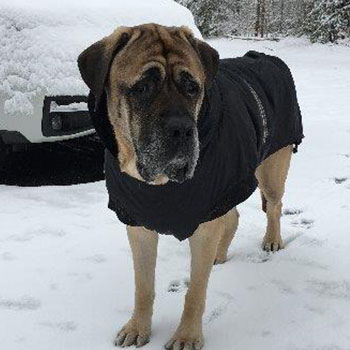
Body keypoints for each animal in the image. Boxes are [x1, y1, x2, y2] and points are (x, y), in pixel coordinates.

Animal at [78, 23, 302, 348]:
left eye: (192, 87)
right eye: (142, 88)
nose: (182, 129)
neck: (159, 184)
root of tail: (265, 58)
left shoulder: (205, 221)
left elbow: (195, 291)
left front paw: (187, 335)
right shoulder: (138, 223)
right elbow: (143, 285)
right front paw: (138, 327)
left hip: (271, 168)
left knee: (273, 205)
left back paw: (271, 239)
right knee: (232, 216)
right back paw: (220, 254)